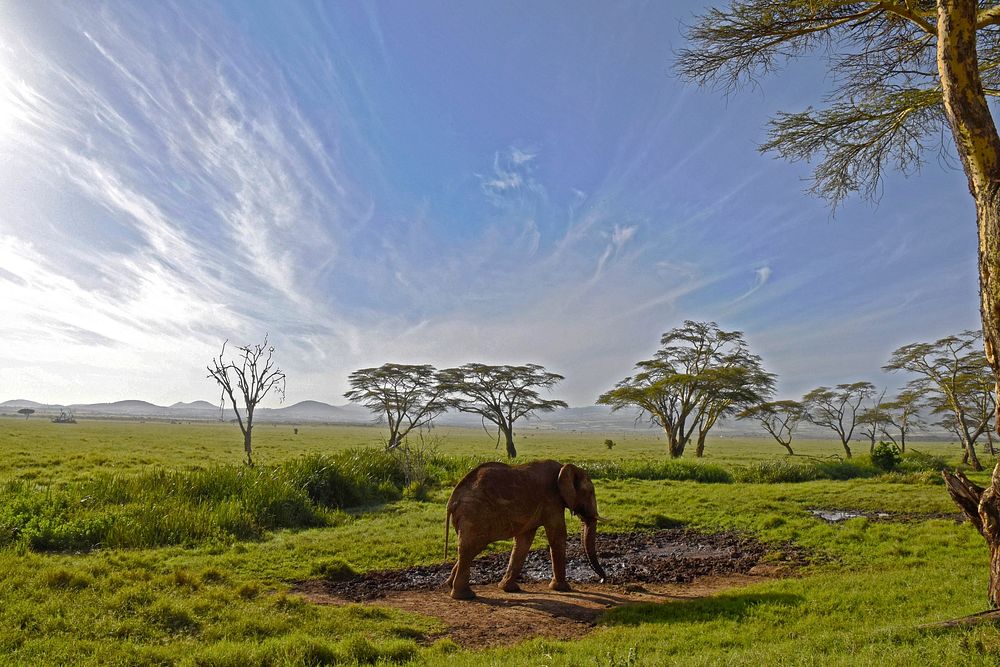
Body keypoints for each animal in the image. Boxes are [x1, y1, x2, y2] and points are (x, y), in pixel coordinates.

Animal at [448, 460, 608, 600]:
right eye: (590, 493)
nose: (603, 580)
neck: (564, 468)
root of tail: (452, 501)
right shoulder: (552, 501)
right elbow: (558, 535)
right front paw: (563, 588)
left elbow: (524, 541)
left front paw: (509, 589)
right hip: (474, 514)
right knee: (471, 547)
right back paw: (465, 596)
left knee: (470, 549)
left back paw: (449, 585)